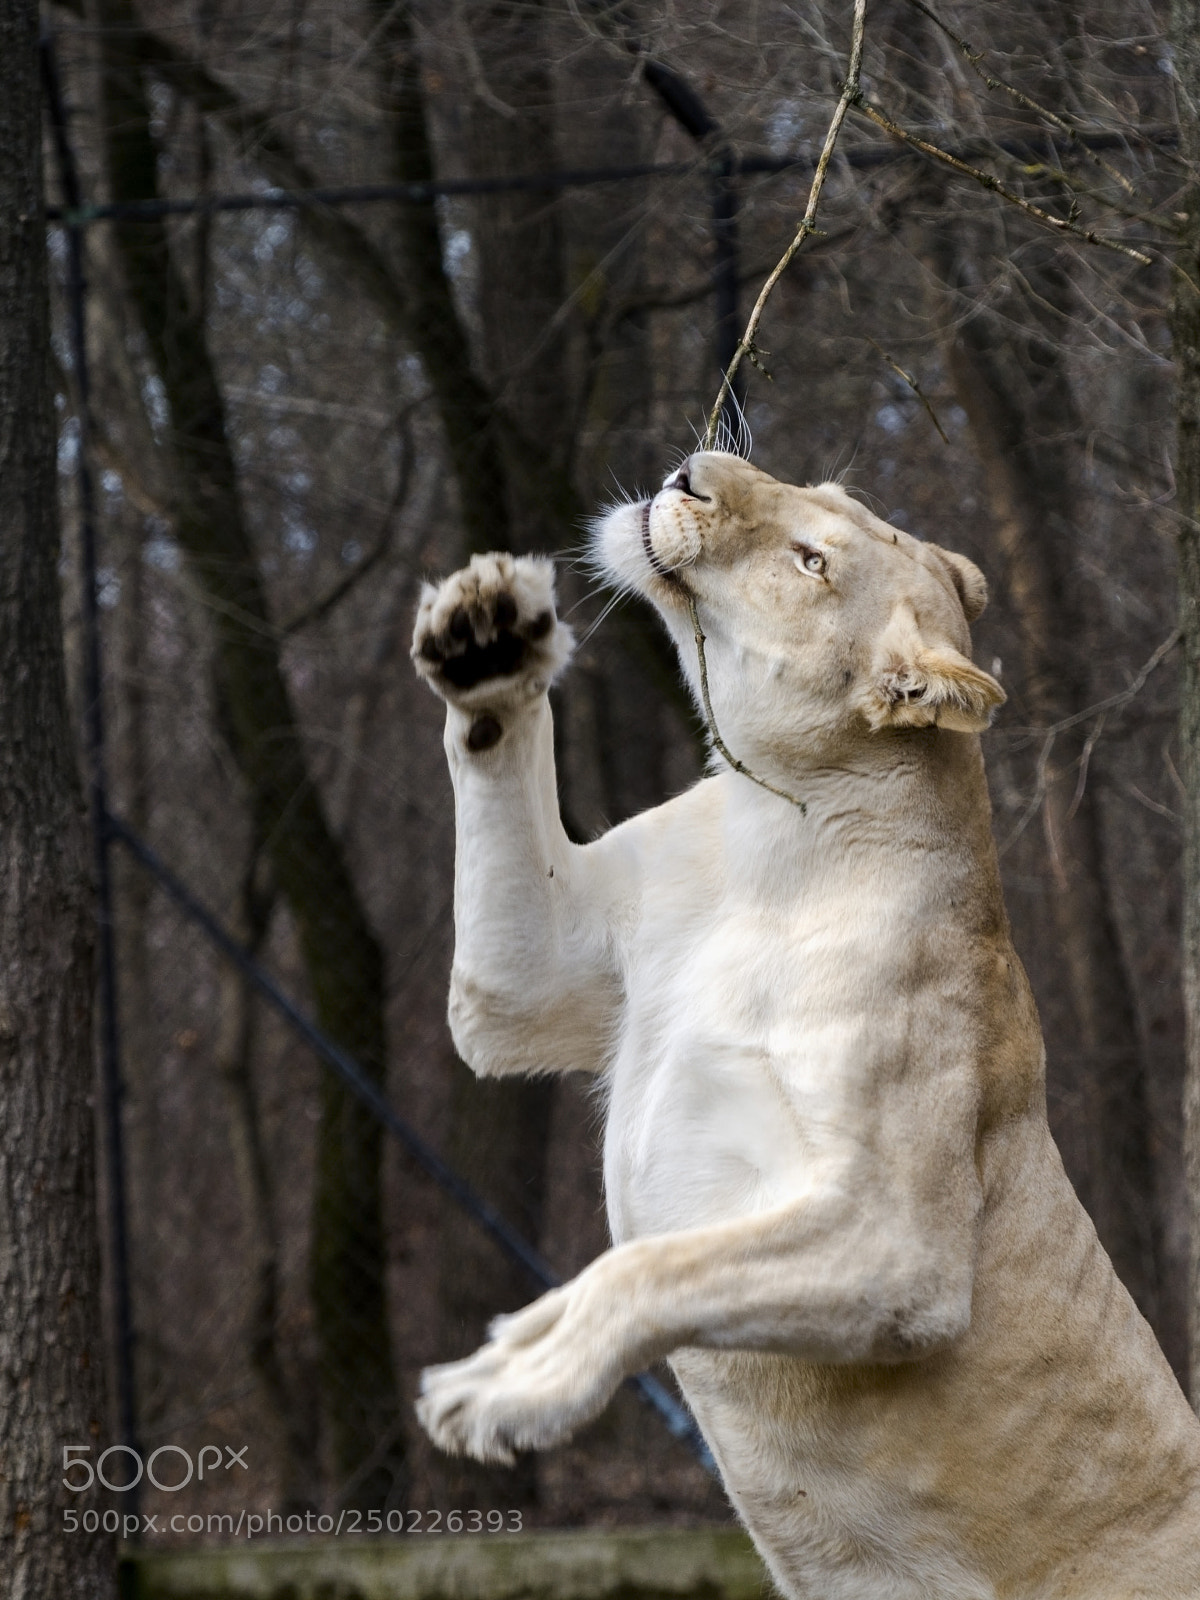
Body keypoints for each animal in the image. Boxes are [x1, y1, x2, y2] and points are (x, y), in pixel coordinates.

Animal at [411, 451, 1200, 1599]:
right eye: (820, 496)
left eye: (811, 559)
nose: (694, 469)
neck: (762, 843)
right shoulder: (526, 985)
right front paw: (486, 633)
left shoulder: (900, 1246)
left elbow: (653, 1268)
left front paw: (513, 1388)